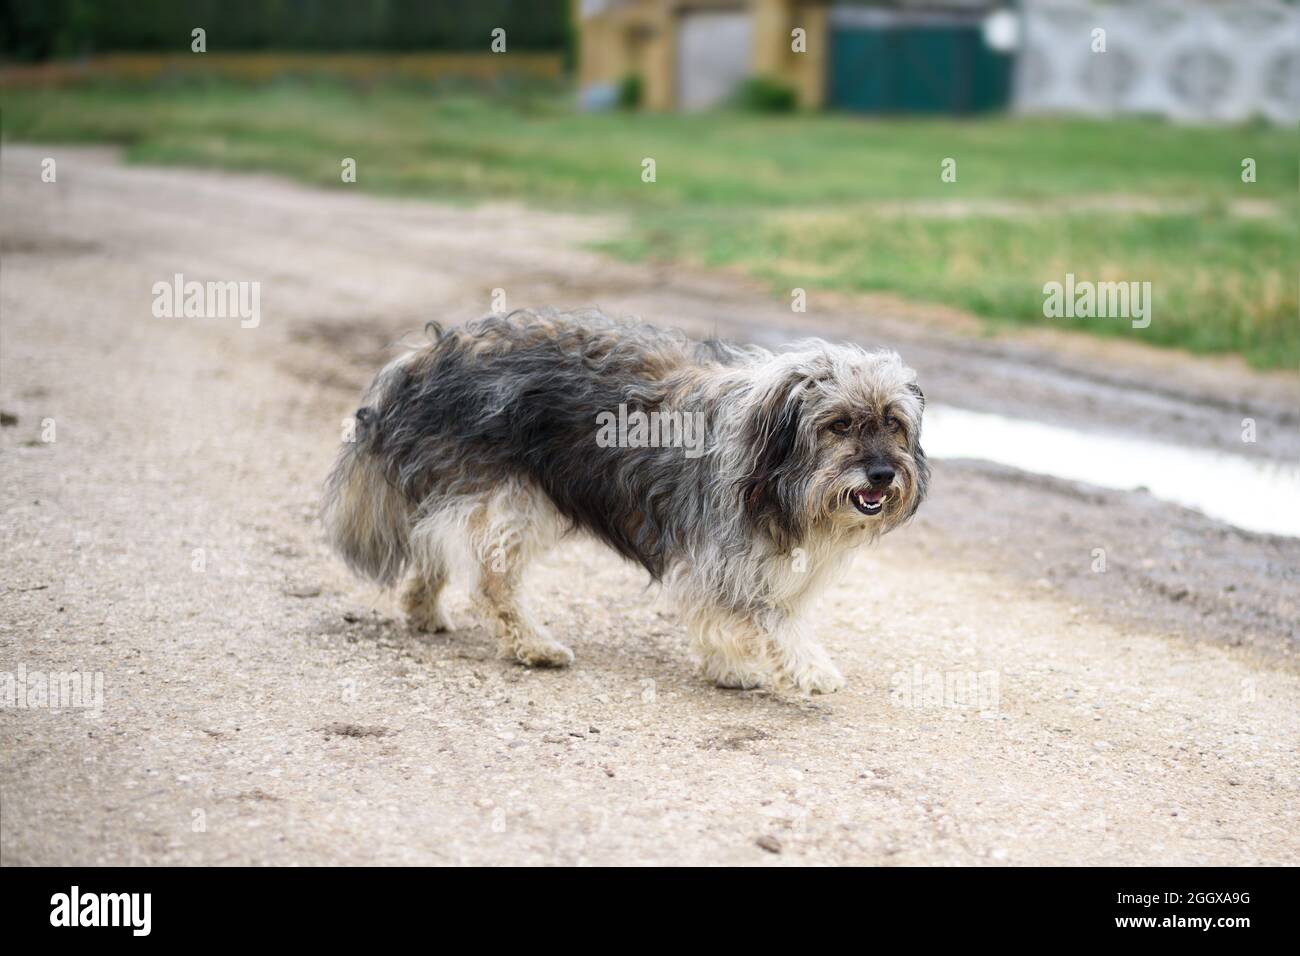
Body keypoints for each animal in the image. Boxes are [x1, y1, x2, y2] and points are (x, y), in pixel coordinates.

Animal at [327, 314, 935, 697]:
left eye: (893, 423)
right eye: (840, 425)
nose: (883, 473)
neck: (769, 463)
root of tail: (427, 351)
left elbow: (726, 618)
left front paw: (728, 667)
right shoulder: (720, 557)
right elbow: (764, 616)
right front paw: (809, 666)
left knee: (432, 545)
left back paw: (424, 610)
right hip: (508, 499)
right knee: (491, 581)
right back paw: (534, 645)